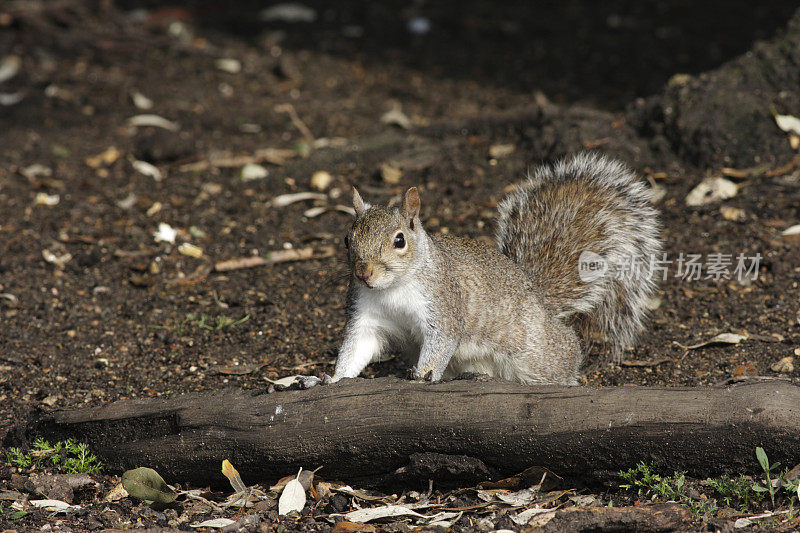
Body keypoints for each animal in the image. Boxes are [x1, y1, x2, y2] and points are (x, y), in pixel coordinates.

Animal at [328, 152, 660, 384]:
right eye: (346, 239)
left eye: (399, 241)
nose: (363, 273)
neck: (392, 288)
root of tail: (539, 298)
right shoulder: (366, 314)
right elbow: (358, 347)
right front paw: (331, 379)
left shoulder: (443, 305)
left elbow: (442, 341)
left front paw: (422, 375)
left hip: (535, 352)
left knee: (562, 361)